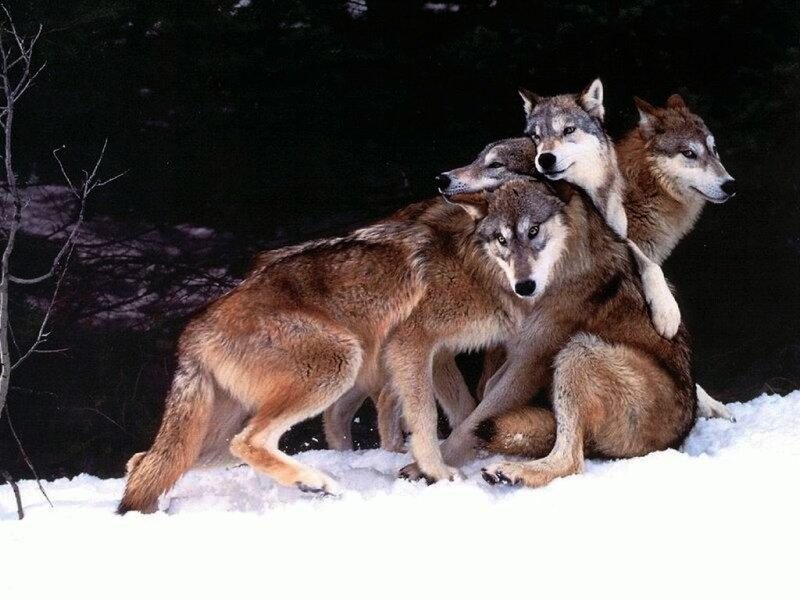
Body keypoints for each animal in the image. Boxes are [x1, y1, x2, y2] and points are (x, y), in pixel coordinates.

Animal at [117, 179, 558, 512]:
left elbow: (465, 412)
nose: (526, 283)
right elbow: (426, 419)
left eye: (534, 233)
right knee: (247, 442)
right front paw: (437, 472)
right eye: (503, 239)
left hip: (216, 435)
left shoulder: (439, 354)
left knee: (145, 461)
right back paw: (314, 482)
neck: (474, 264)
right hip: (339, 361)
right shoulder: (411, 344)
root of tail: (194, 331)